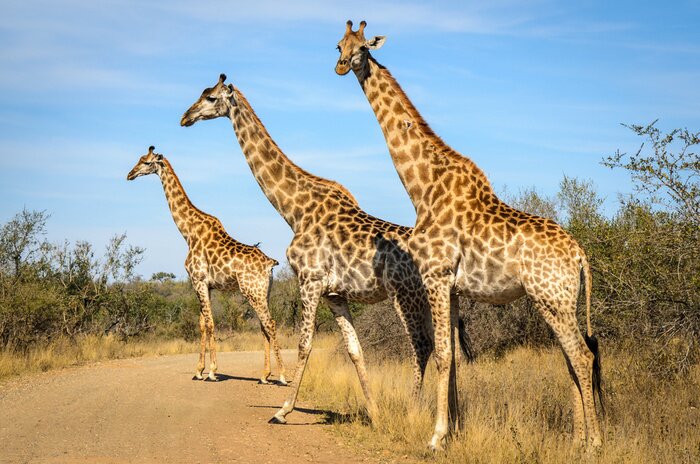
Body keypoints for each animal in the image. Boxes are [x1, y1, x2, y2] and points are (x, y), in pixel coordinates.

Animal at [127, 146, 286, 385]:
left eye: (146, 162)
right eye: (139, 159)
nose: (130, 174)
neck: (188, 232)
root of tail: (270, 264)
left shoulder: (198, 280)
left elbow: (210, 323)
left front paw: (211, 371)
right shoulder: (206, 285)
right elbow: (202, 324)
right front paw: (198, 370)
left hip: (253, 292)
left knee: (270, 323)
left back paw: (283, 376)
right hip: (264, 291)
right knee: (263, 326)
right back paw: (264, 375)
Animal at [180, 74, 471, 424]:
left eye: (210, 97)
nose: (185, 117)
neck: (295, 210)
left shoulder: (310, 280)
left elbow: (304, 344)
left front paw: (283, 410)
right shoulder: (334, 294)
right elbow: (355, 350)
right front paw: (374, 413)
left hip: (407, 295)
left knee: (423, 345)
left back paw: (414, 413)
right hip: (444, 298)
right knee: (450, 349)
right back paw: (454, 421)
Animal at [335, 20, 603, 451]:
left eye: (362, 47)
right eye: (338, 45)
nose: (343, 66)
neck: (422, 188)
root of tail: (580, 254)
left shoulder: (436, 276)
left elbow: (443, 355)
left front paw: (435, 437)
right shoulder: (455, 289)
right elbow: (455, 360)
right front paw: (453, 431)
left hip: (552, 298)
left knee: (581, 356)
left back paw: (593, 443)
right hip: (559, 301)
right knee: (572, 358)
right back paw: (576, 441)